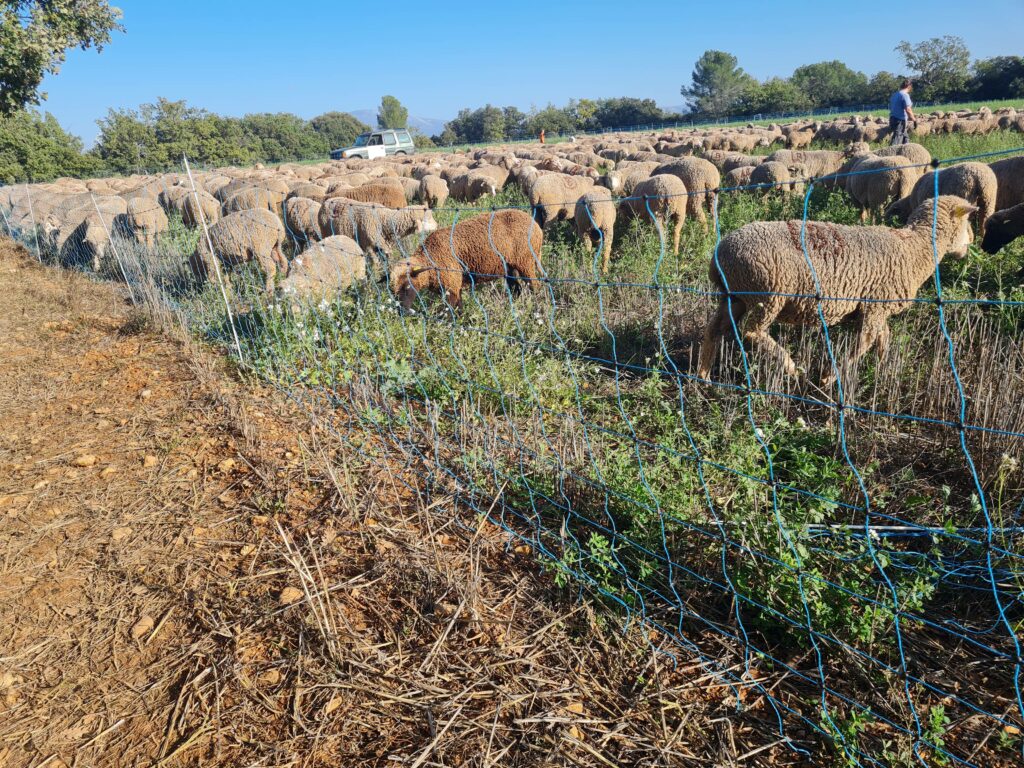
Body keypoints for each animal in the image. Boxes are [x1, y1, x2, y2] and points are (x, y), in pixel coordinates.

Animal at [387, 210, 544, 313]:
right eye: (392, 290)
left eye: (407, 286)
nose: (401, 312)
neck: (430, 260)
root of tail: (537, 226)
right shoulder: (455, 284)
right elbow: (459, 306)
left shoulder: (451, 285)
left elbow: (451, 310)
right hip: (509, 267)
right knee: (516, 288)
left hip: (526, 262)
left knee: (534, 286)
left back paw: (536, 306)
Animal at [700, 195, 978, 382]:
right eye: (967, 223)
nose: (972, 245)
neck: (915, 249)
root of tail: (719, 254)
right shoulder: (876, 306)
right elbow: (865, 342)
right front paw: (829, 377)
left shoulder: (876, 307)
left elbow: (883, 338)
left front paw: (883, 369)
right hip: (768, 295)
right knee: (751, 332)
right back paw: (791, 367)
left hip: (734, 296)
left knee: (715, 329)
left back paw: (703, 375)